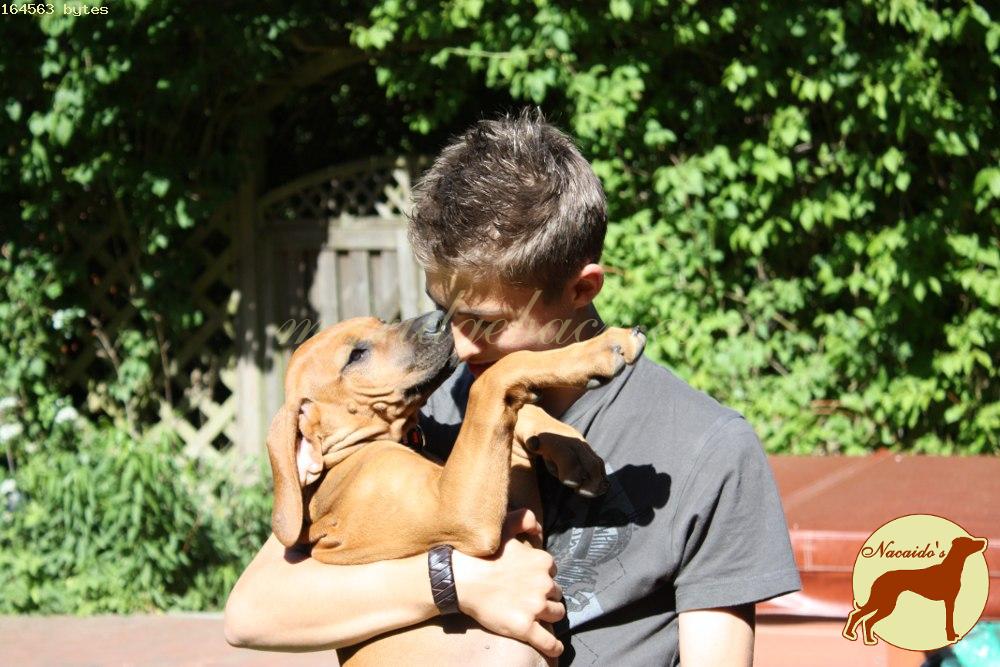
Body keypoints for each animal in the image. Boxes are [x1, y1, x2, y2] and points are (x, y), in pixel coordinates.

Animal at [266, 310, 645, 665]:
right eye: (355, 356)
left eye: (382, 322)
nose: (439, 319)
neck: (350, 454)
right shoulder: (458, 509)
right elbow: (495, 376)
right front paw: (602, 348)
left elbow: (500, 401)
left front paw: (572, 450)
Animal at [842, 535, 988, 645]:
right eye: (970, 542)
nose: (983, 542)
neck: (950, 568)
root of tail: (879, 578)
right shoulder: (949, 601)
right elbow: (949, 621)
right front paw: (951, 637)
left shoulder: (949, 601)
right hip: (885, 603)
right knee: (862, 618)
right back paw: (857, 636)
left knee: (862, 618)